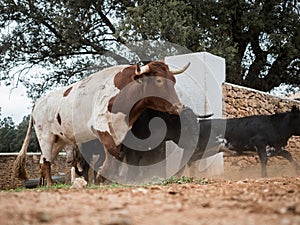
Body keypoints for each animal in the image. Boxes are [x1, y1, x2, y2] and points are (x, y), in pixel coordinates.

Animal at [14, 61, 189, 186]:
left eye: (173, 81)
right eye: (158, 80)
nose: (178, 107)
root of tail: (38, 103)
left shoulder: (120, 131)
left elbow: (117, 154)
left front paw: (106, 177)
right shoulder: (101, 126)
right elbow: (113, 152)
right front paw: (101, 176)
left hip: (59, 140)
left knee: (44, 160)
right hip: (46, 137)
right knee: (46, 162)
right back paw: (50, 185)